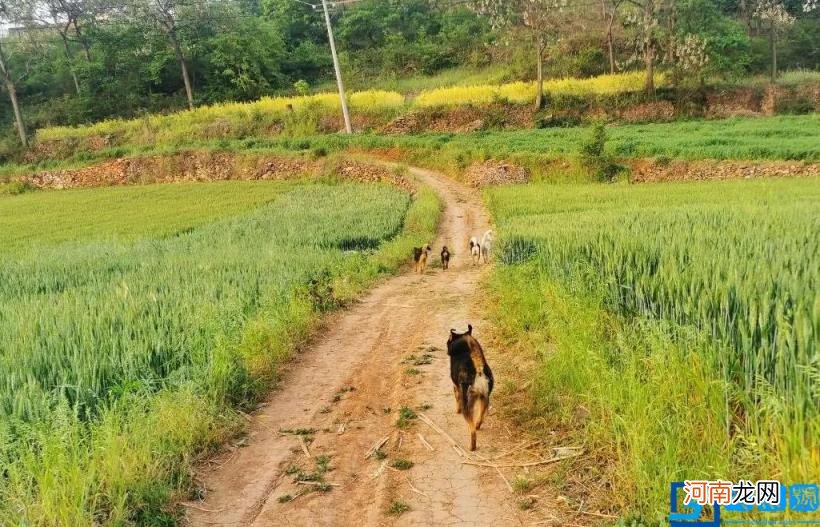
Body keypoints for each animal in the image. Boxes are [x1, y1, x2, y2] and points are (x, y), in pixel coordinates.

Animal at [448, 324, 494, 452]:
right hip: (484, 397)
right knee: (480, 417)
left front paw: (457, 410)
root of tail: (478, 370)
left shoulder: (456, 386)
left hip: (468, 402)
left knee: (472, 430)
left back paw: (471, 447)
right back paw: (478, 425)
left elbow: (456, 397)